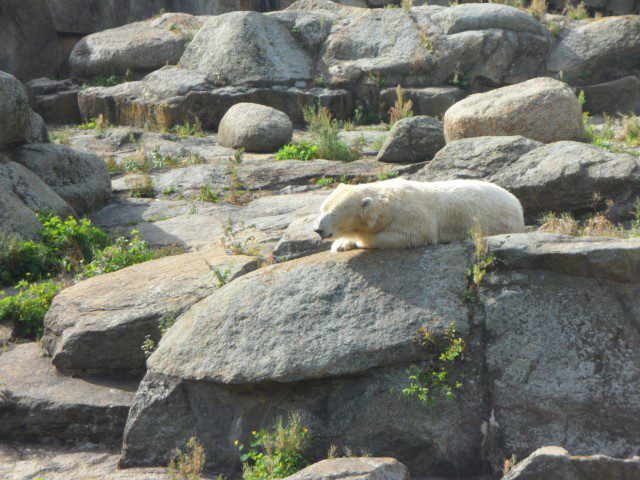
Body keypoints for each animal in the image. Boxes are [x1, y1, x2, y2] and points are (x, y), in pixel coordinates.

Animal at [312, 179, 524, 253]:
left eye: (333, 214)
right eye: (322, 209)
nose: (318, 229)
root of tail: (517, 202)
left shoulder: (412, 217)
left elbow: (410, 236)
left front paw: (359, 240)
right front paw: (340, 245)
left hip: (502, 221)